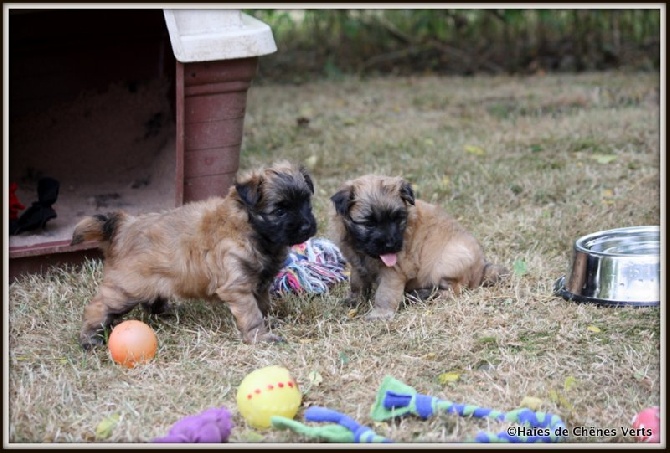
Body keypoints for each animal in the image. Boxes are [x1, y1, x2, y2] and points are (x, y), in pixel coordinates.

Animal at [72, 161, 318, 348]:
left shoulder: (260, 284)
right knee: (98, 307)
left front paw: (268, 324)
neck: (250, 228)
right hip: (126, 289)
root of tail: (123, 227)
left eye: (307, 203)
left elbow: (262, 306)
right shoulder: (237, 286)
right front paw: (261, 336)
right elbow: (251, 314)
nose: (307, 227)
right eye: (280, 210)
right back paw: (89, 339)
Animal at [330, 175, 510, 320]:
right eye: (369, 223)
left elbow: (385, 293)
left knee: (455, 289)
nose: (391, 244)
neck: (364, 251)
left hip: (447, 262)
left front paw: (380, 314)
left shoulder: (394, 270)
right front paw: (355, 300)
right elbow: (357, 283)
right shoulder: (357, 265)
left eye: (397, 218)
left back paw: (423, 295)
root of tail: (482, 268)